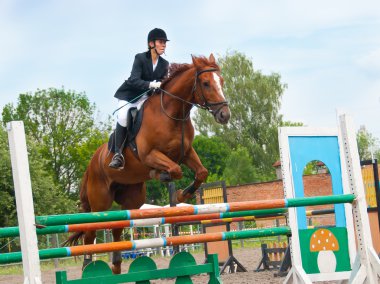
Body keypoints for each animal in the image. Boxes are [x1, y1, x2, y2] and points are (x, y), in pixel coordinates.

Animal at [67, 53, 230, 272]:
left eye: (221, 81)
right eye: (205, 83)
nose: (224, 115)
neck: (173, 113)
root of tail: (92, 162)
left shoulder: (186, 152)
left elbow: (201, 173)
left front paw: (180, 195)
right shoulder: (149, 155)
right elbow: (175, 170)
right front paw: (163, 178)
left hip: (132, 199)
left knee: (118, 229)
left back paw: (116, 268)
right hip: (100, 201)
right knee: (90, 233)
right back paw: (88, 267)